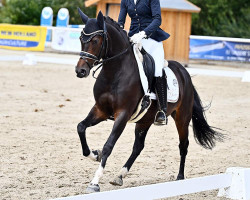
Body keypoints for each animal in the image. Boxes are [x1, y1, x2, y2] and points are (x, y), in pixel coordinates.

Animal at [74, 9, 223, 192]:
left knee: (183, 145)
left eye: (95, 40)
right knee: (138, 147)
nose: (80, 71)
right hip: (145, 120)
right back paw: (119, 176)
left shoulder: (122, 115)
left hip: (182, 118)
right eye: (81, 39)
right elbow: (81, 127)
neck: (115, 72)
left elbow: (108, 145)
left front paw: (94, 182)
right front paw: (95, 154)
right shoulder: (100, 110)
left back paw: (180, 177)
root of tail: (183, 72)